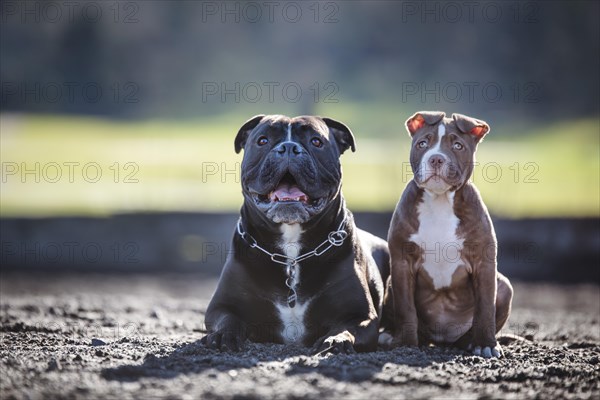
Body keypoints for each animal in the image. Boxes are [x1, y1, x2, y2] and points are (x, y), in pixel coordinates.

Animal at [386, 111, 512, 358]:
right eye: (422, 143)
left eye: (457, 145)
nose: (436, 158)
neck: (440, 200)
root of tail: (442, 340)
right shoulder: (402, 262)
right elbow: (405, 307)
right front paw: (405, 343)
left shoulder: (484, 263)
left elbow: (486, 308)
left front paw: (487, 344)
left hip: (505, 286)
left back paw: (471, 342)